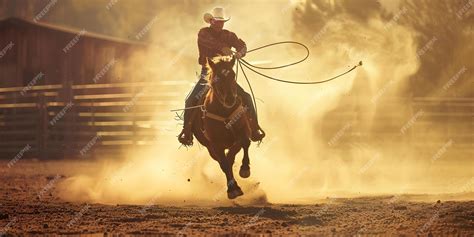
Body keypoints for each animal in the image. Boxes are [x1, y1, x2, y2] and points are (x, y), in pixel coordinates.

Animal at [191, 56, 254, 200]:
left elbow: (244, 143)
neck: (224, 112)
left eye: (233, 75)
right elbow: (225, 163)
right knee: (222, 163)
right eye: (217, 78)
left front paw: (245, 169)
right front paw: (232, 190)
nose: (230, 99)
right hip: (210, 148)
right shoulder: (215, 144)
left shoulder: (244, 131)